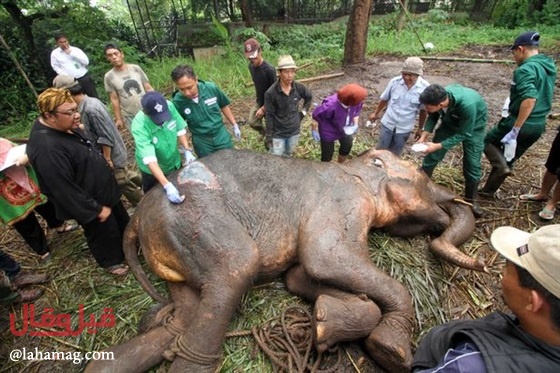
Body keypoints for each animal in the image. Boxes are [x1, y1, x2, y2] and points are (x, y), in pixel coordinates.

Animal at [86, 148, 482, 372]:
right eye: (422, 178)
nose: (480, 264)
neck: (352, 169)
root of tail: (137, 218)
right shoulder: (344, 200)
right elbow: (325, 257)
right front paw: (389, 352)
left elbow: (299, 276)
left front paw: (324, 320)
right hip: (191, 221)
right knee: (235, 270)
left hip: (171, 244)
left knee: (184, 314)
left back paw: (106, 366)